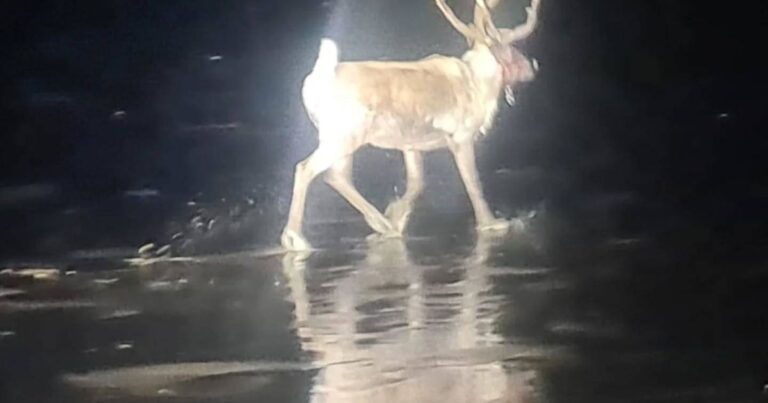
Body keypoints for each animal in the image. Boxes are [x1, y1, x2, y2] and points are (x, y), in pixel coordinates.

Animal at [281, 0, 542, 251]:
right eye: (513, 49)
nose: (533, 67)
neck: (479, 85)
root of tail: (315, 81)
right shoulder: (462, 136)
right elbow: (473, 182)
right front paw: (491, 223)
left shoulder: (411, 144)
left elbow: (417, 184)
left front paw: (396, 214)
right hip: (344, 136)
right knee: (307, 169)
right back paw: (295, 238)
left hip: (342, 138)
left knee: (337, 177)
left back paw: (383, 225)